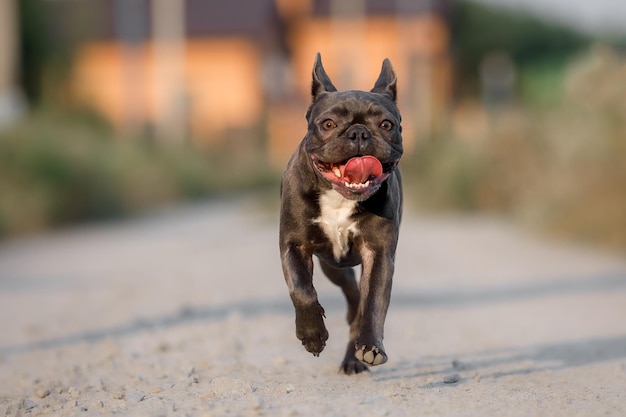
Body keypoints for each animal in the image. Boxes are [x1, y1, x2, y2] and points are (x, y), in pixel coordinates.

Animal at [276, 52, 402, 374]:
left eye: (386, 125)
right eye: (329, 123)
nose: (358, 132)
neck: (338, 197)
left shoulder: (378, 254)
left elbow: (374, 303)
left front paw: (371, 347)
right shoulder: (294, 246)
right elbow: (301, 289)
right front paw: (312, 334)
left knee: (359, 303)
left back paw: (353, 358)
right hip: (332, 265)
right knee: (350, 293)